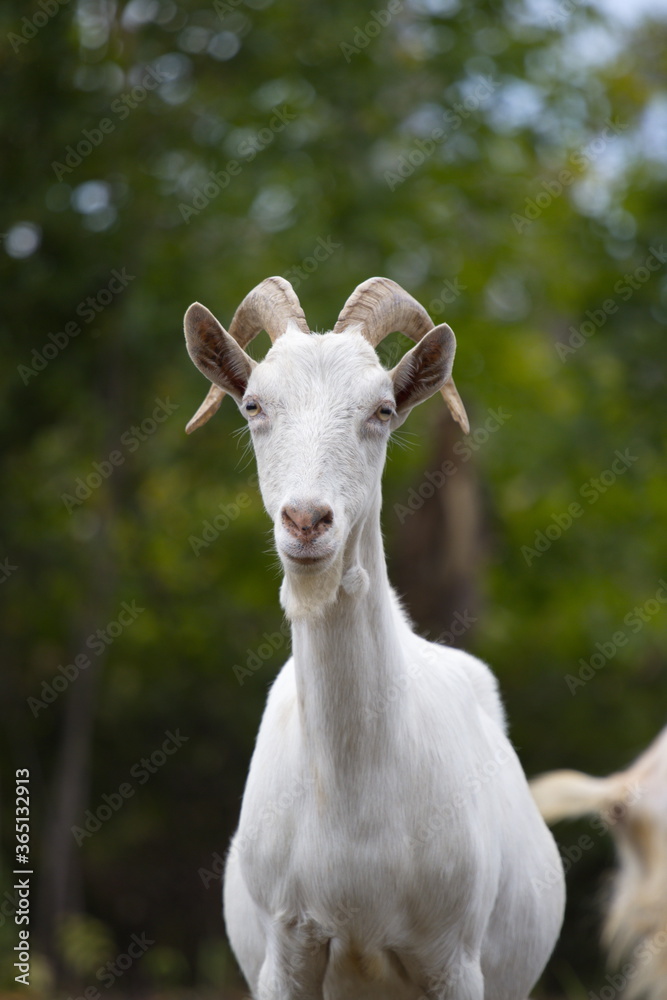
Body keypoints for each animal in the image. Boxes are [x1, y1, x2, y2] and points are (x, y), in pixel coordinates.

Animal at [185, 278, 568, 1000]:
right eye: (253, 404)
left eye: (383, 410)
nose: (307, 521)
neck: (354, 804)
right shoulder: (285, 949)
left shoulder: (453, 959)